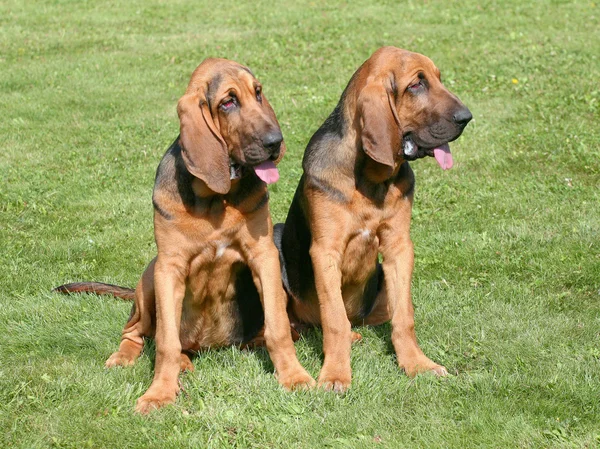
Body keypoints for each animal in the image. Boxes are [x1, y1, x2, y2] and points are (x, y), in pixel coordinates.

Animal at [55, 57, 314, 412]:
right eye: (228, 102)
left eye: (258, 92)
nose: (275, 142)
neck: (214, 199)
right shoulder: (169, 267)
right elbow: (165, 343)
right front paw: (159, 393)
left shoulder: (264, 256)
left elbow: (278, 329)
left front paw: (294, 376)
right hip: (149, 278)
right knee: (137, 333)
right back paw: (132, 358)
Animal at [274, 44, 472, 388]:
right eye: (416, 85)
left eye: (438, 78)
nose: (467, 118)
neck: (369, 180)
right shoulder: (325, 251)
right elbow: (334, 319)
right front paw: (335, 374)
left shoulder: (399, 247)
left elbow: (405, 317)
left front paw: (417, 364)